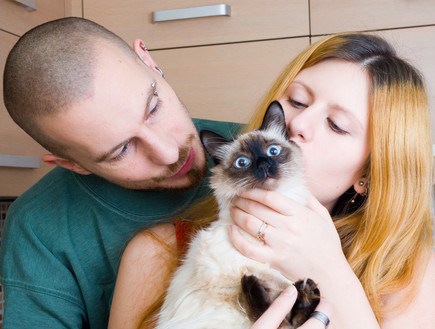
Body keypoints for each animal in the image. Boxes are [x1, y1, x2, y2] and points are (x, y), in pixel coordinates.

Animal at [157, 100, 320, 328]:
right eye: (242, 163)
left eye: (273, 151)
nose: (264, 165)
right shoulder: (243, 265)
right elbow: (282, 283)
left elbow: (286, 290)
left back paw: (305, 294)